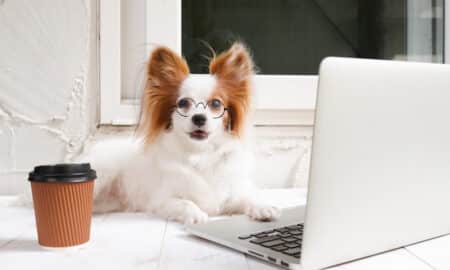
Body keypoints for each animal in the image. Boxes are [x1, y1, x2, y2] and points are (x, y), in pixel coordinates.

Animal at [83, 42, 282, 224]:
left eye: (216, 104)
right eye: (183, 103)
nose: (199, 118)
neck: (200, 154)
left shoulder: (232, 192)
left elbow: (248, 197)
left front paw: (262, 207)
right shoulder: (160, 200)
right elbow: (185, 203)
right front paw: (197, 215)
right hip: (103, 174)